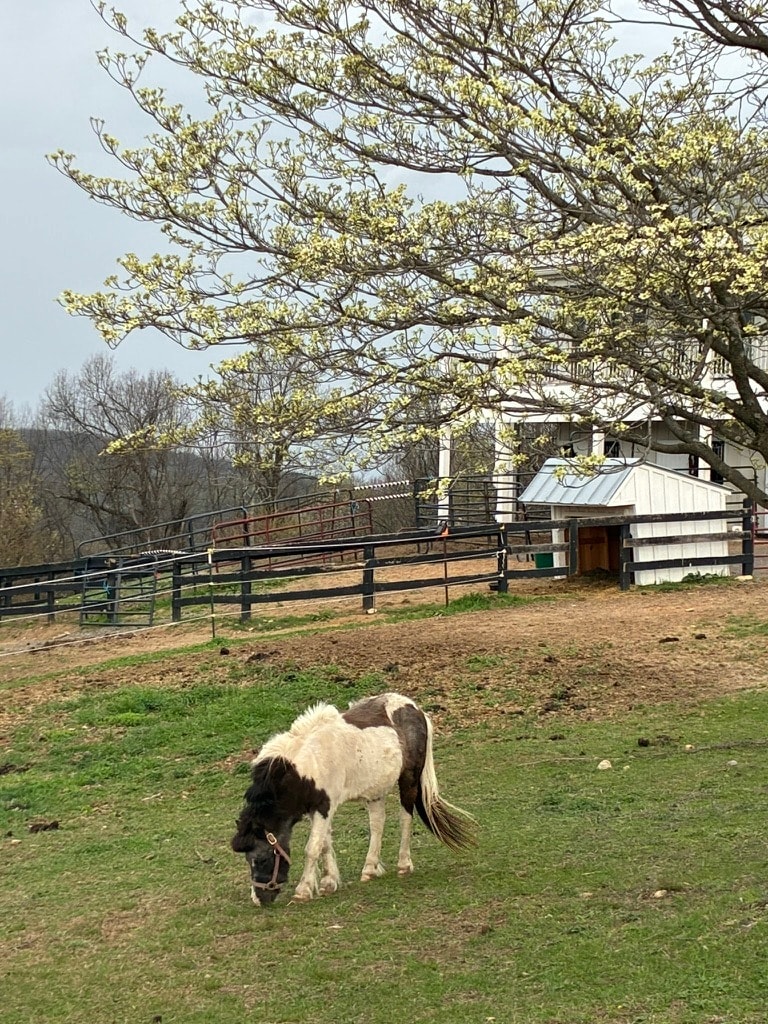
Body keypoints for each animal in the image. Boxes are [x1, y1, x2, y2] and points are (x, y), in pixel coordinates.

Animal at [231, 692, 476, 906]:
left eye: (261, 858)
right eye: (247, 859)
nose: (259, 900)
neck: (305, 767)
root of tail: (415, 708)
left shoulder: (323, 806)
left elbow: (313, 847)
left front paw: (303, 891)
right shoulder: (318, 809)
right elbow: (325, 844)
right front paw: (328, 882)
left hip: (409, 781)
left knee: (405, 818)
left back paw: (404, 865)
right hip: (376, 791)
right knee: (377, 824)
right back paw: (369, 869)